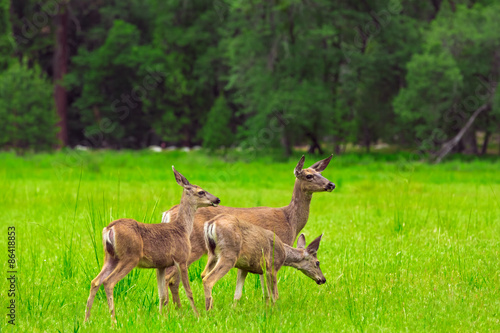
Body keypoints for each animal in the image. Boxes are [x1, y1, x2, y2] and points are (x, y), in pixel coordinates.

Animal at [85, 166, 220, 322]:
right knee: (108, 282)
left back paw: (86, 319)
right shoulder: (181, 258)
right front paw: (197, 315)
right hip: (130, 257)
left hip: (110, 257)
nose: (217, 199)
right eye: (201, 191)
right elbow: (188, 290)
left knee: (95, 281)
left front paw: (161, 317)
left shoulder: (160, 265)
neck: (183, 229)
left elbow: (161, 294)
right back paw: (113, 320)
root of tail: (109, 229)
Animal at [162, 154, 334, 308]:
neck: (290, 220)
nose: (331, 184)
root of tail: (167, 214)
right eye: (309, 175)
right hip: (192, 248)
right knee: (172, 276)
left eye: (321, 173)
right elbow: (268, 289)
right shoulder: (271, 254)